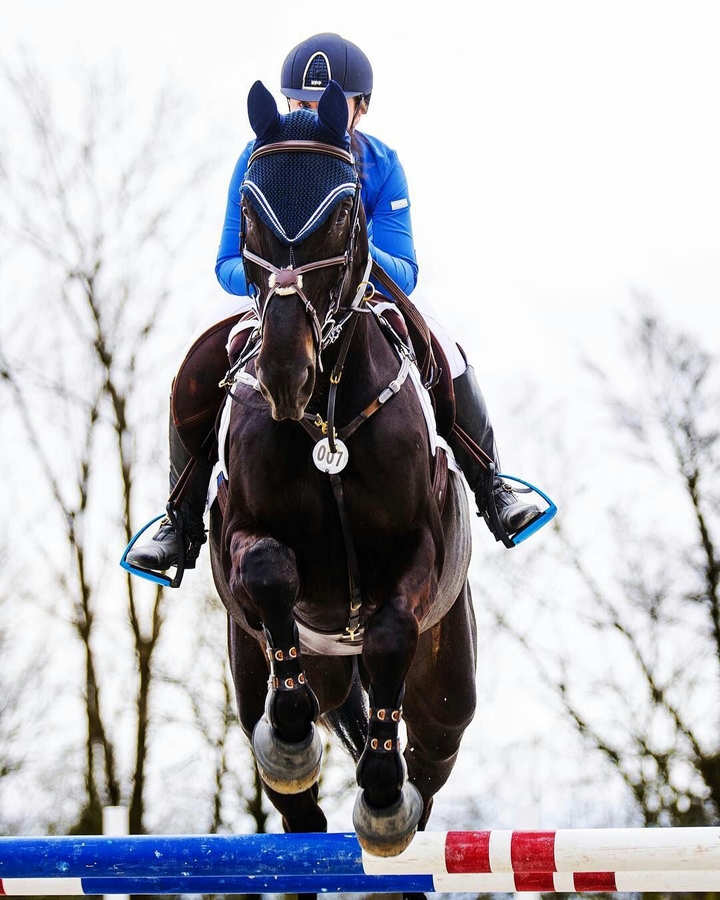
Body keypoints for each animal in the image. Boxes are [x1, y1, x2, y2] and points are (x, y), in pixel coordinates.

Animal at [208, 78, 477, 869]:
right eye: (248, 209)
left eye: (344, 213)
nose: (282, 373)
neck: (325, 411)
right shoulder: (242, 531)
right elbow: (269, 569)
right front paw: (292, 737)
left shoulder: (420, 550)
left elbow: (388, 631)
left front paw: (383, 799)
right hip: (263, 668)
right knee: (299, 783)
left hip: (447, 686)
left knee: (430, 750)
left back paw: (396, 799)